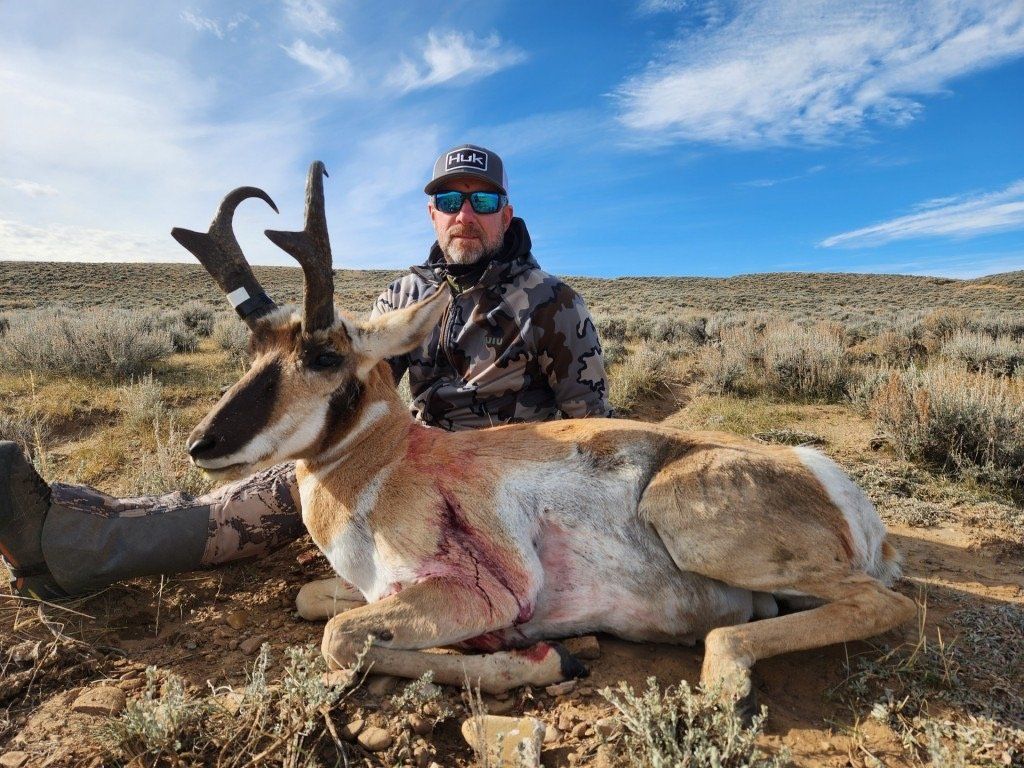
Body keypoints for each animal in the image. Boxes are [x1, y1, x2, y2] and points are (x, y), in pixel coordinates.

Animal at [174, 161, 915, 713]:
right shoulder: (379, 590)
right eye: (254, 350)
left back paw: (723, 679)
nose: (203, 445)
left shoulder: (479, 595)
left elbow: (338, 637)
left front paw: (537, 659)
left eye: (325, 356)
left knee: (884, 603)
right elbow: (314, 604)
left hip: (686, 518)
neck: (392, 464)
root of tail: (826, 478)